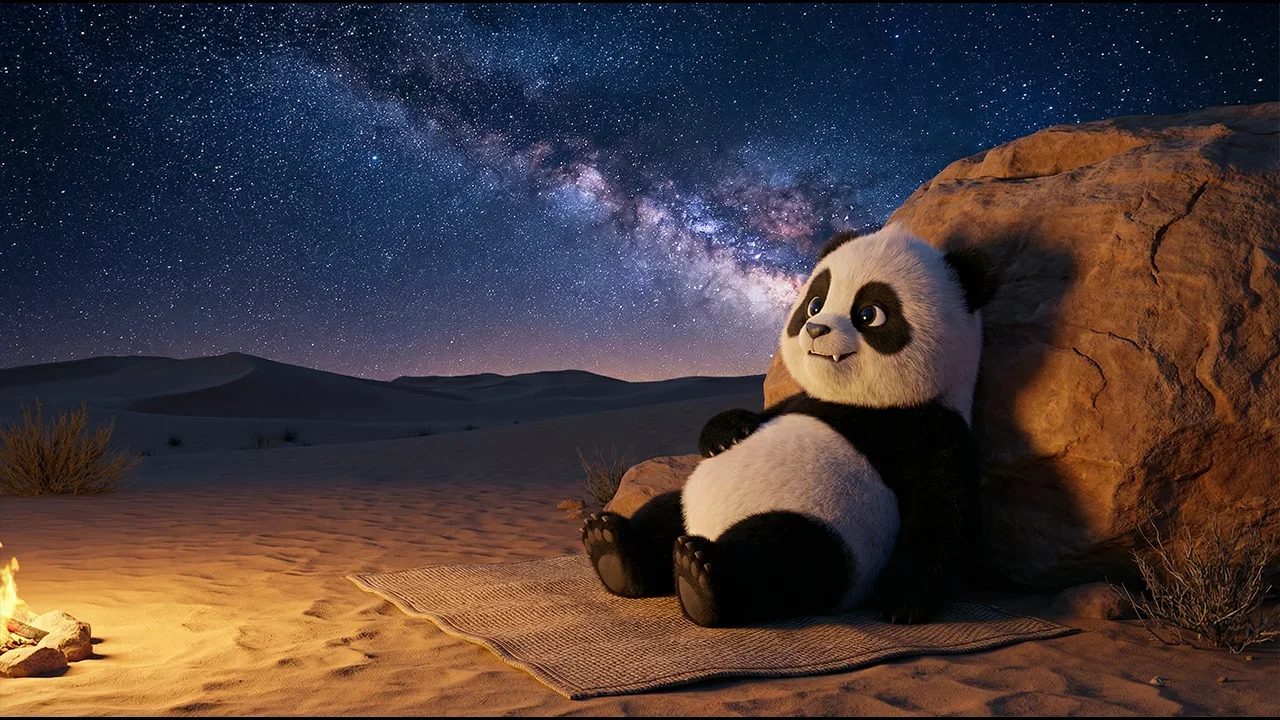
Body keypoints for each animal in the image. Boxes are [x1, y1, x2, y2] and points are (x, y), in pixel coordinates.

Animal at [581, 224, 999, 627]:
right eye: (814, 303)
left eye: (870, 314)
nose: (814, 329)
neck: (856, 403)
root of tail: (705, 528)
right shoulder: (801, 399)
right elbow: (761, 414)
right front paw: (724, 434)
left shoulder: (929, 427)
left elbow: (943, 509)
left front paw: (903, 601)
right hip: (687, 498)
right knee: (662, 512)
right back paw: (611, 547)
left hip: (831, 537)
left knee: (783, 558)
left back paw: (699, 578)